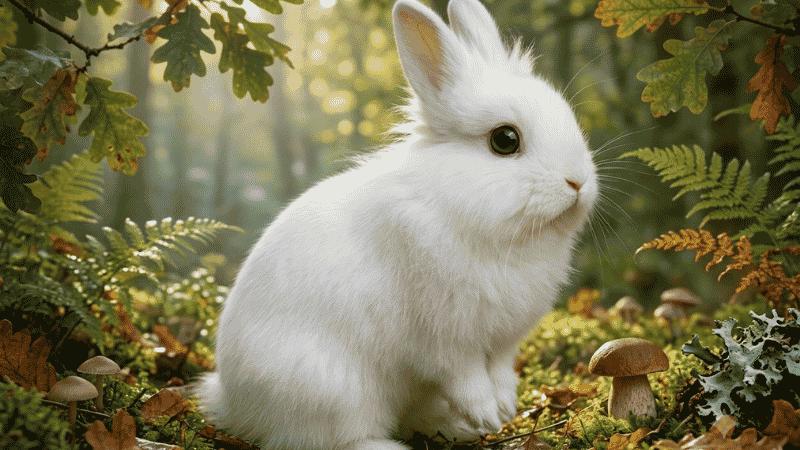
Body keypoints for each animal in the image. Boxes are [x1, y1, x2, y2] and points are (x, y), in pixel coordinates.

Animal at [197, 0, 598, 448]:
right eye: (505, 140)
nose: (578, 182)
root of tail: (234, 404)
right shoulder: (445, 338)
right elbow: (465, 377)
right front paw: (486, 413)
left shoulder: (503, 341)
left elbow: (500, 372)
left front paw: (506, 408)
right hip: (332, 392)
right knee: (324, 438)